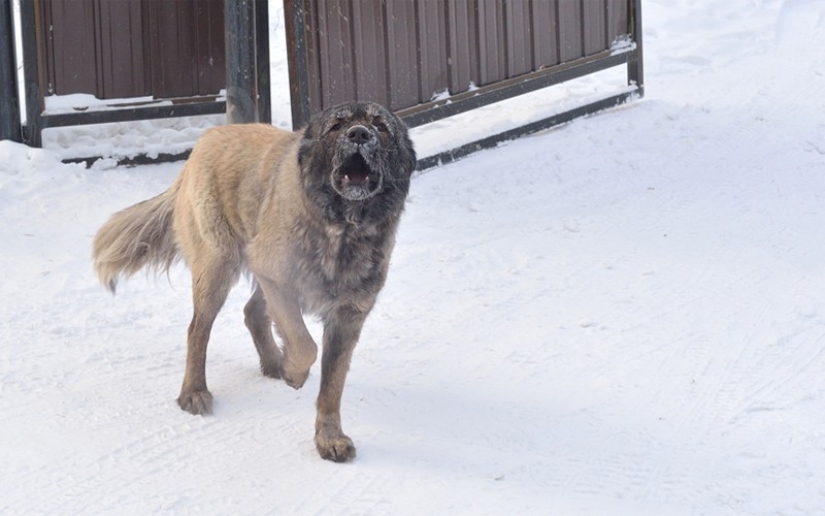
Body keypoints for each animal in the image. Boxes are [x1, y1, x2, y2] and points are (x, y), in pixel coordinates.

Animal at [92, 101, 416, 460]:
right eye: (337, 126)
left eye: (380, 126)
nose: (359, 134)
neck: (341, 227)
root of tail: (206, 140)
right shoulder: (278, 277)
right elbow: (305, 345)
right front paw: (294, 373)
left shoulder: (347, 316)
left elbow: (332, 386)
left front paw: (329, 436)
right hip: (220, 266)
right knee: (197, 329)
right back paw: (195, 391)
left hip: (258, 266)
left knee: (252, 312)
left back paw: (273, 362)